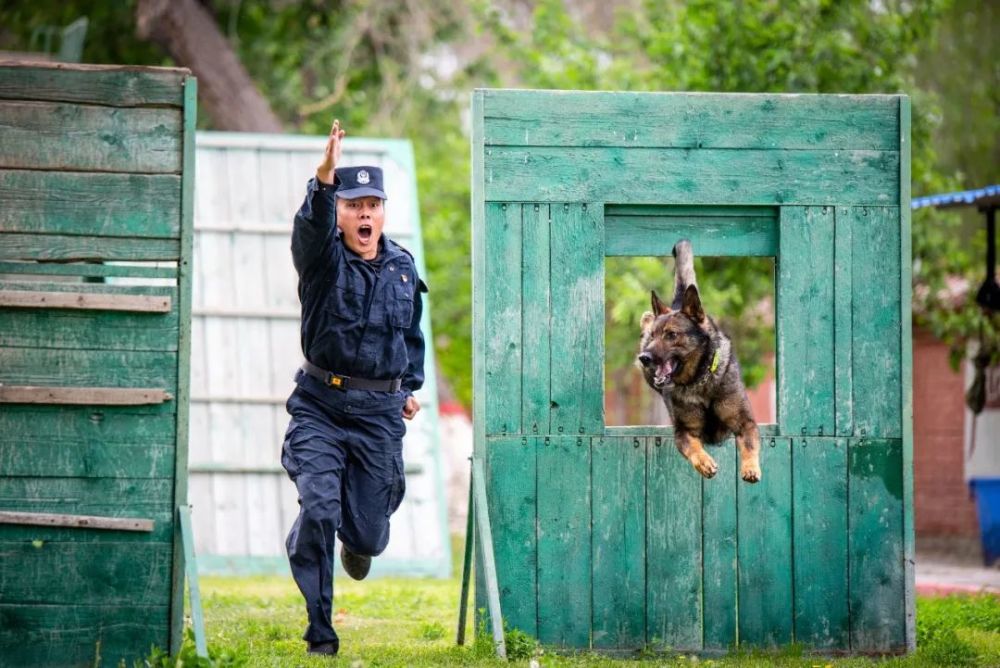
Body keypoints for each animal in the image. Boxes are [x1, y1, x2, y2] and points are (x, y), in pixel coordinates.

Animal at [636, 240, 760, 480]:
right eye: (653, 336)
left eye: (671, 335)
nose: (644, 358)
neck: (699, 380)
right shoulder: (683, 431)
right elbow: (692, 447)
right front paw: (704, 462)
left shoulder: (744, 422)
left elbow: (749, 444)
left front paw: (750, 467)